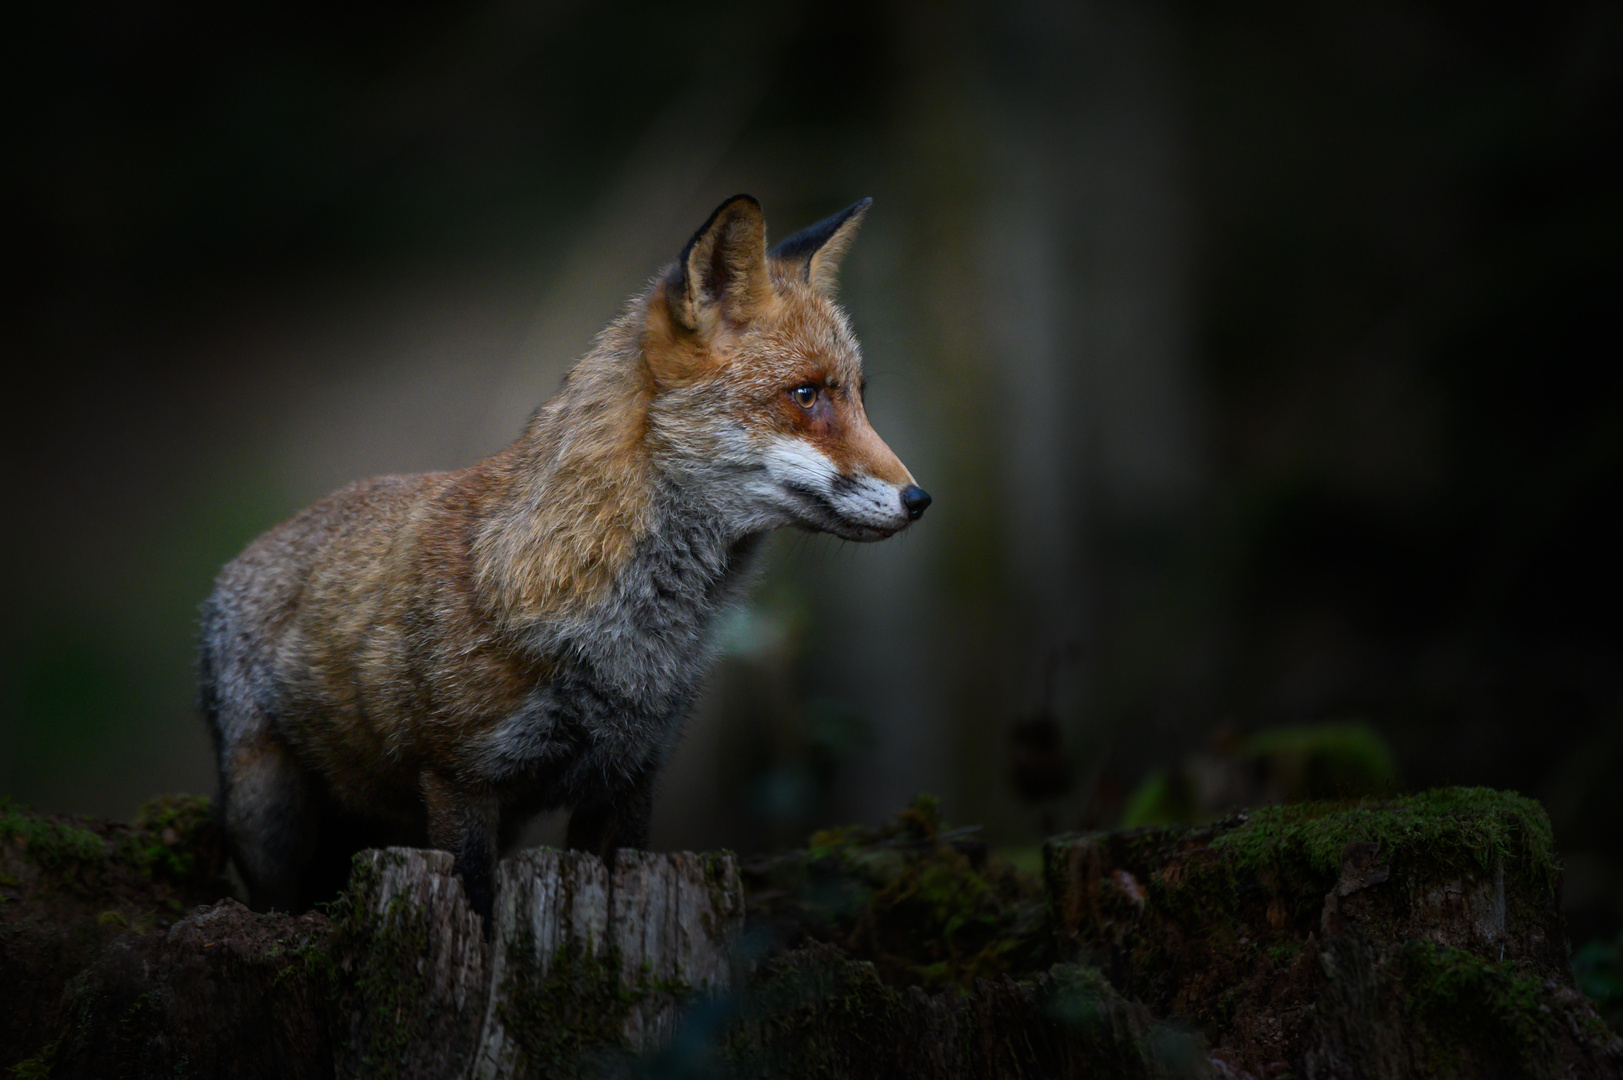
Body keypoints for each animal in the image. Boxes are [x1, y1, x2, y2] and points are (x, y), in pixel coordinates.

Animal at [202, 191, 934, 915]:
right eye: (805, 394)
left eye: (859, 397)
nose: (920, 499)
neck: (635, 641)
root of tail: (245, 555)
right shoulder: (460, 778)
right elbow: (477, 895)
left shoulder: (629, 777)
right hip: (268, 821)